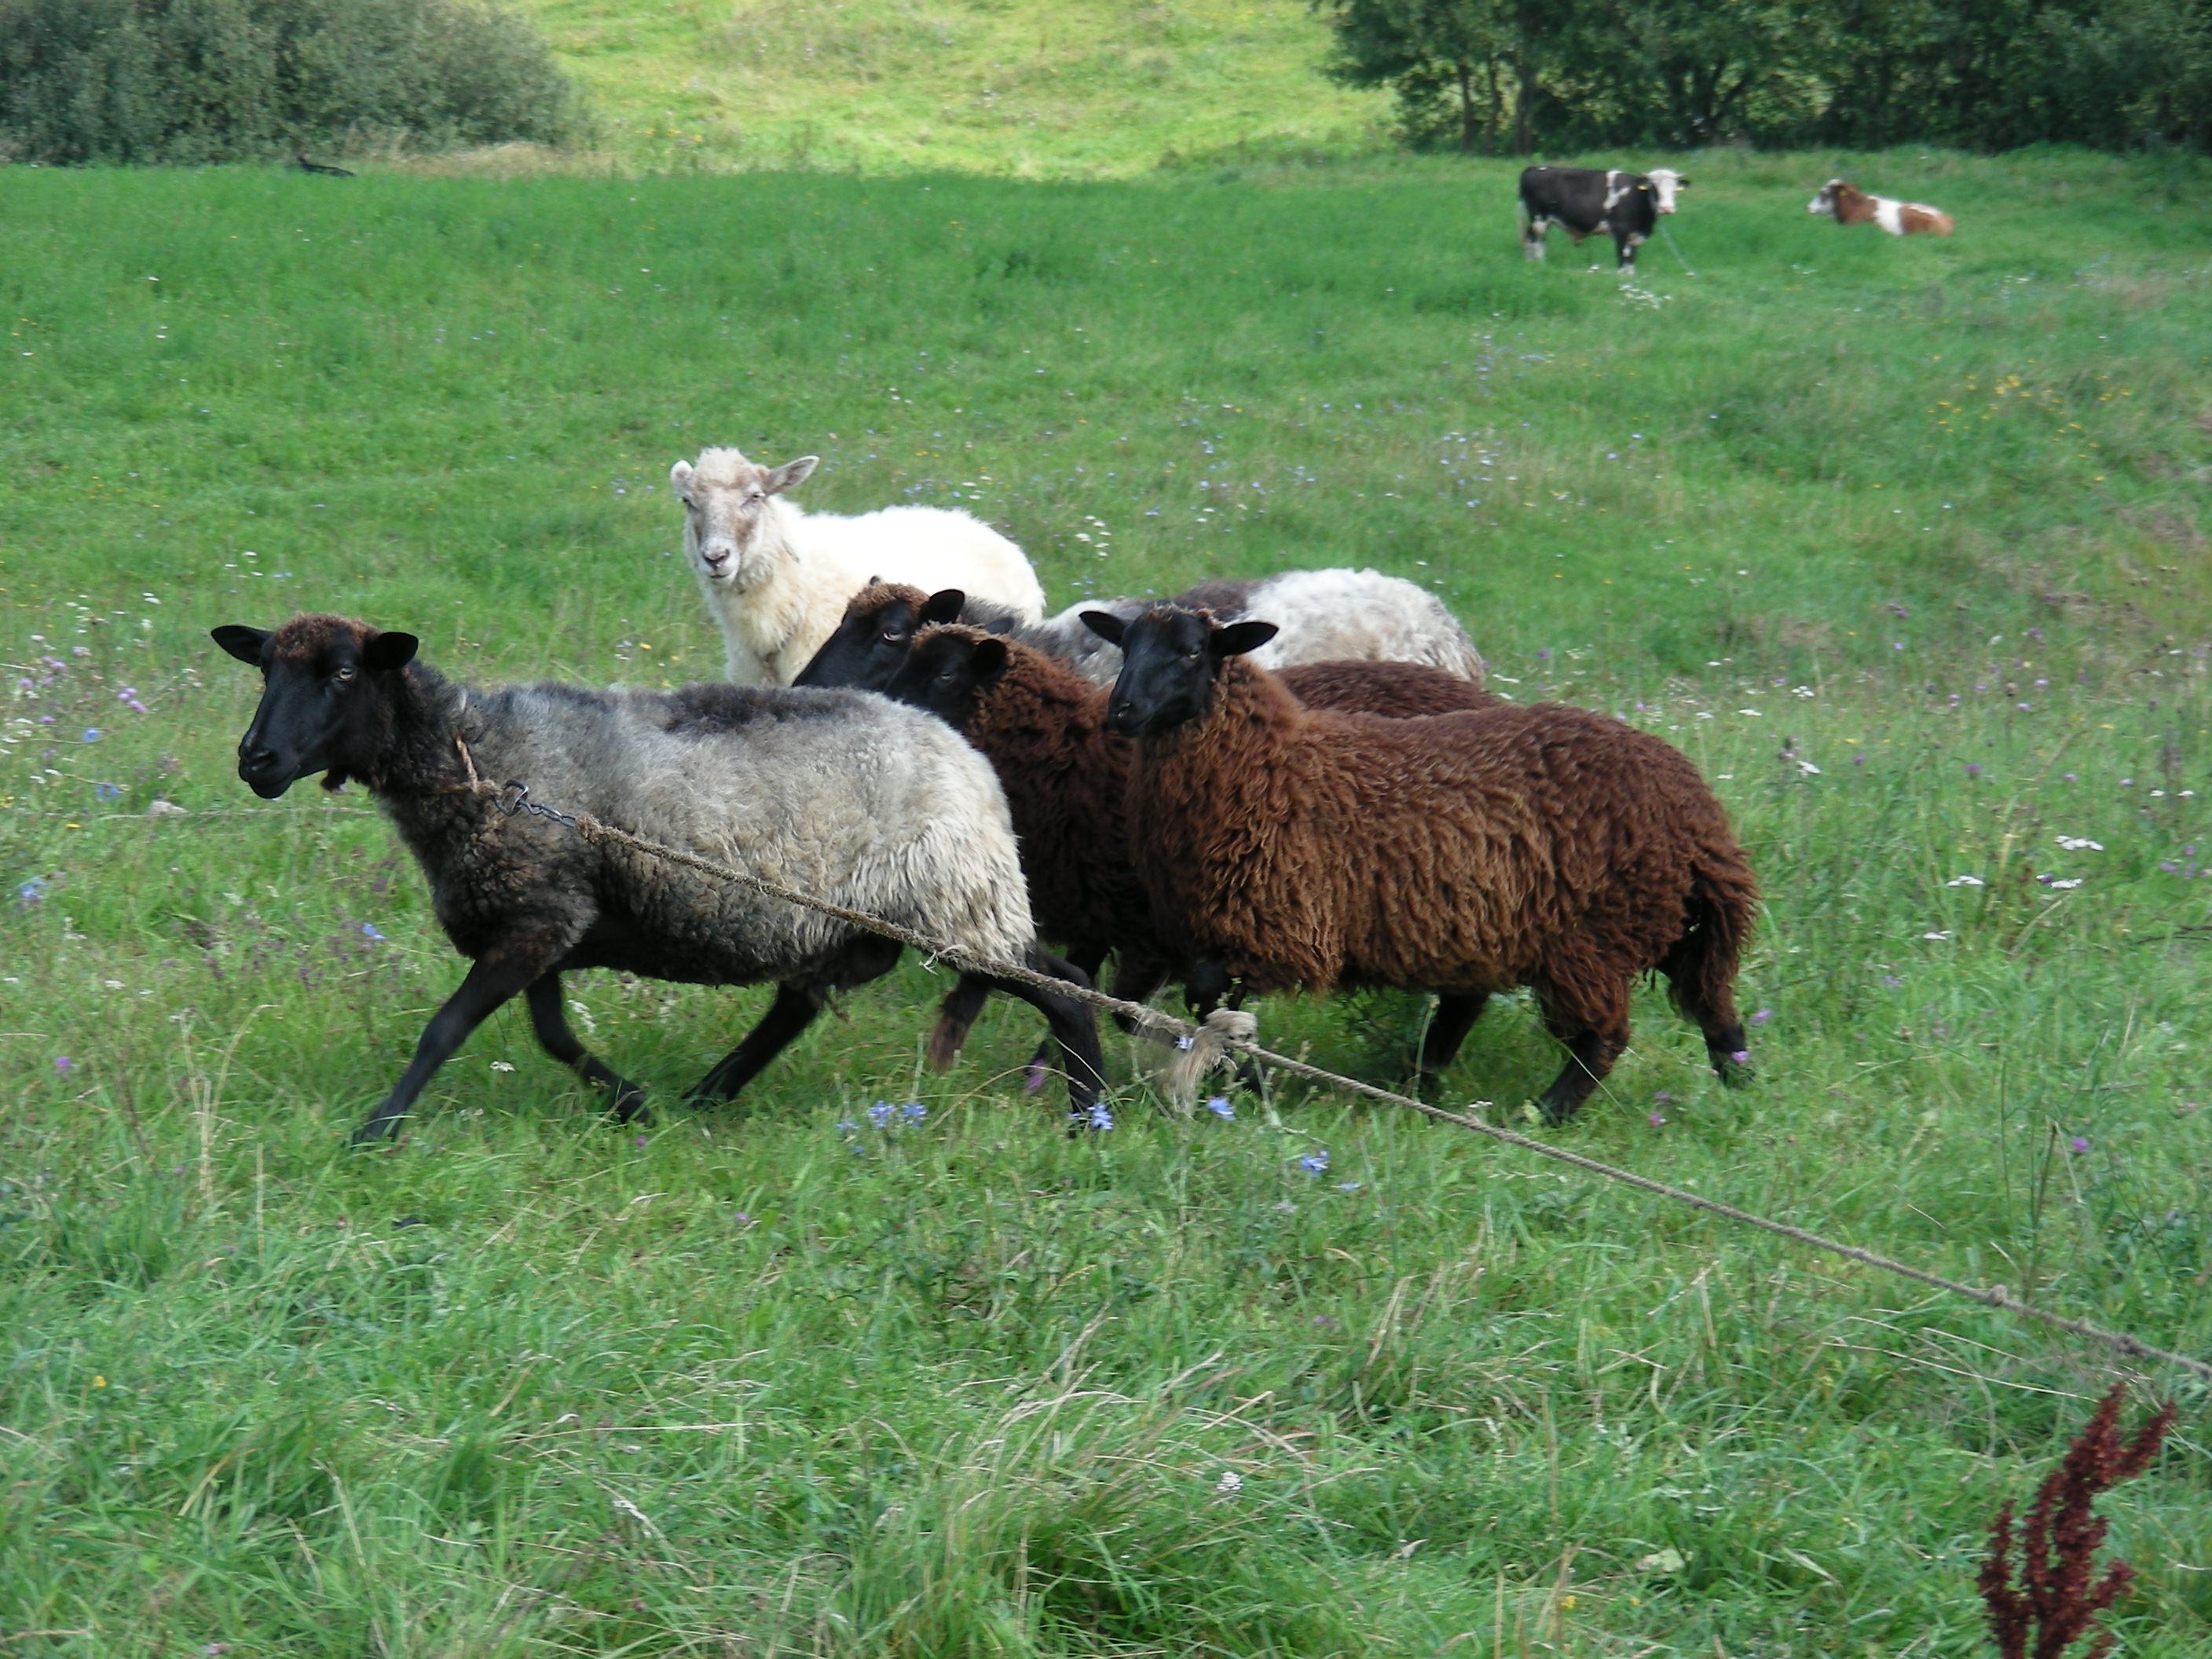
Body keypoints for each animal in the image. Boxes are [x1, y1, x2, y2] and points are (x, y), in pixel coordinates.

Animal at [211, 613, 1104, 1143]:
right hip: (860, 918)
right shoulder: (544, 917)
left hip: (954, 905)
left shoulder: (535, 918)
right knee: (796, 1009)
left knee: (1065, 989)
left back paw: (1089, 1113)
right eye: (265, 672)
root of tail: (963, 752)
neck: (475, 758)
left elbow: (446, 1027)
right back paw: (707, 1096)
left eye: (342, 675)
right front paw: (628, 1102)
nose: (255, 759)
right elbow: (553, 1034)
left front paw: (377, 1129)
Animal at [871, 622, 1496, 1065]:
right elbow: (1033, 980)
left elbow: (1126, 1007)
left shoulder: (1156, 929)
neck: (1066, 755)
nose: (873, 706)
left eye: (945, 675)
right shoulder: (1094, 910)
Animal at [1081, 605, 1756, 1123]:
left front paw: (1249, 1077)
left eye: (1192, 653)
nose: (1122, 710)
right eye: (1126, 646)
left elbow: (1201, 998)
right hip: (1646, 920)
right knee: (1713, 1007)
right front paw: (1244, 1073)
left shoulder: (1281, 929)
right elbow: (1188, 1006)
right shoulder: (1213, 931)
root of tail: (1694, 811)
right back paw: (1740, 1089)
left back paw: (1542, 1113)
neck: (1266, 764)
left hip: (1594, 935)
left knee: (1606, 1036)